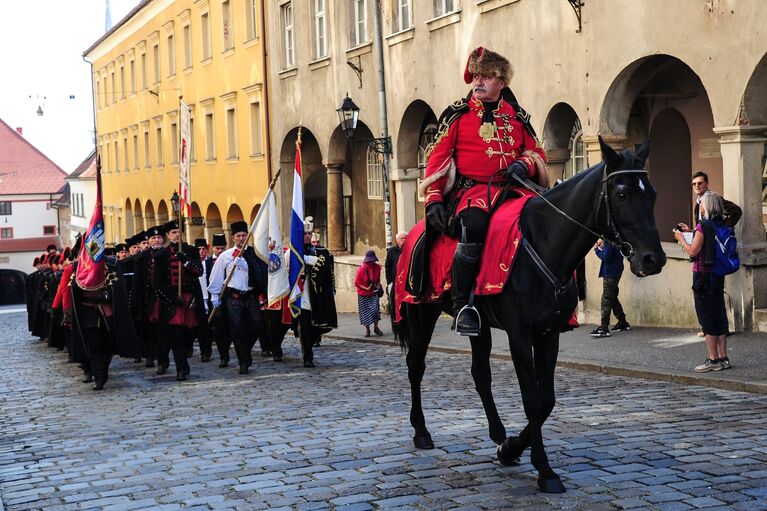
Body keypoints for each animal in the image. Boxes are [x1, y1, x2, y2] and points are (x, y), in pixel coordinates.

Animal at [400, 136, 668, 492]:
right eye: (622, 193)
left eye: (651, 193)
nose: (654, 259)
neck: (544, 242)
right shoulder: (519, 333)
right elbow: (532, 399)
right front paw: (544, 470)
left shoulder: (548, 332)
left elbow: (547, 400)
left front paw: (510, 447)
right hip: (421, 314)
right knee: (416, 366)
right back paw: (421, 431)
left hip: (479, 325)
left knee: (479, 373)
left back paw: (497, 432)